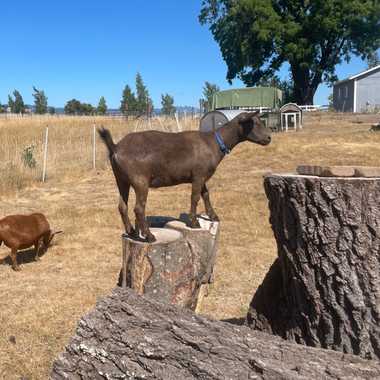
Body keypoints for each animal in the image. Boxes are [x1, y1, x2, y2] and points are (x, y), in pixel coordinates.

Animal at [98, 110, 270, 242]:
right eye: (254, 122)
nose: (269, 138)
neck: (214, 143)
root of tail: (115, 147)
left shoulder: (201, 175)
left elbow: (206, 194)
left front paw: (213, 216)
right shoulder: (198, 175)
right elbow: (195, 197)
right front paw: (194, 222)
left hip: (121, 179)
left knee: (122, 206)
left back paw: (132, 232)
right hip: (140, 179)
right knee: (139, 208)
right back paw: (148, 236)